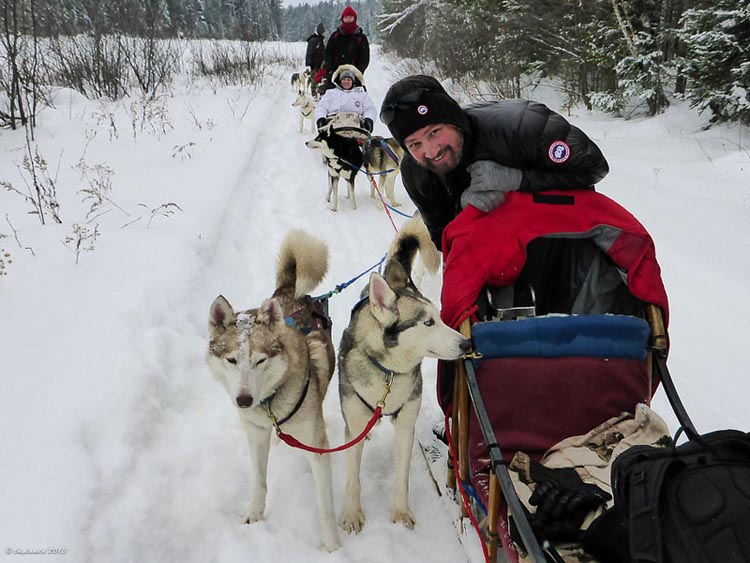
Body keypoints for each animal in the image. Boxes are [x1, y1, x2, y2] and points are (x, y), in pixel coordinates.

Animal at [209, 231, 344, 552]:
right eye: (231, 360)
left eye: (260, 360)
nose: (243, 400)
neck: (270, 402)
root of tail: (288, 289)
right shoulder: (256, 433)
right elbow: (259, 481)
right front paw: (255, 513)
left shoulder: (317, 445)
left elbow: (325, 505)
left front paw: (333, 546)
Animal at [340, 215, 470, 532]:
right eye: (427, 322)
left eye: (440, 317)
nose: (466, 344)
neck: (388, 373)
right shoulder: (354, 421)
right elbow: (352, 478)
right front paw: (352, 513)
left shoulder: (405, 425)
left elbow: (402, 477)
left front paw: (400, 512)